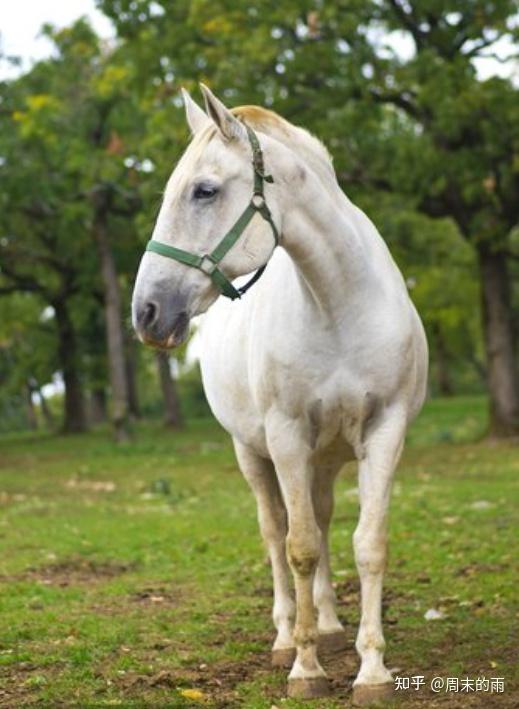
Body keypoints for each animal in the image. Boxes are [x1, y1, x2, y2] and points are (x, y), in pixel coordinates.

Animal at [132, 84, 428, 703]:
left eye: (204, 190)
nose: (146, 311)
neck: (339, 304)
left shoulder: (385, 431)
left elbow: (368, 543)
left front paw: (371, 670)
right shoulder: (287, 438)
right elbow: (298, 547)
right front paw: (306, 668)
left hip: (327, 456)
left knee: (322, 516)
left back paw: (331, 625)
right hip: (255, 452)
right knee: (276, 532)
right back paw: (289, 635)